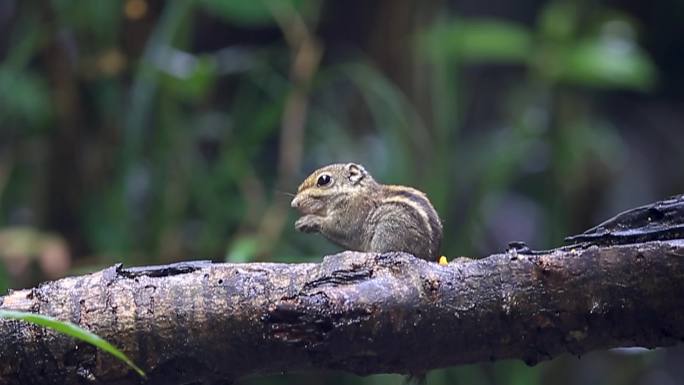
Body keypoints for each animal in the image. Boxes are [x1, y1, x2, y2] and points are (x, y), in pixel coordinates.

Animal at [290, 162, 444, 260]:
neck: (354, 192)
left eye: (324, 180)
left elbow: (339, 229)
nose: (294, 203)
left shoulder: (353, 213)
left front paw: (308, 221)